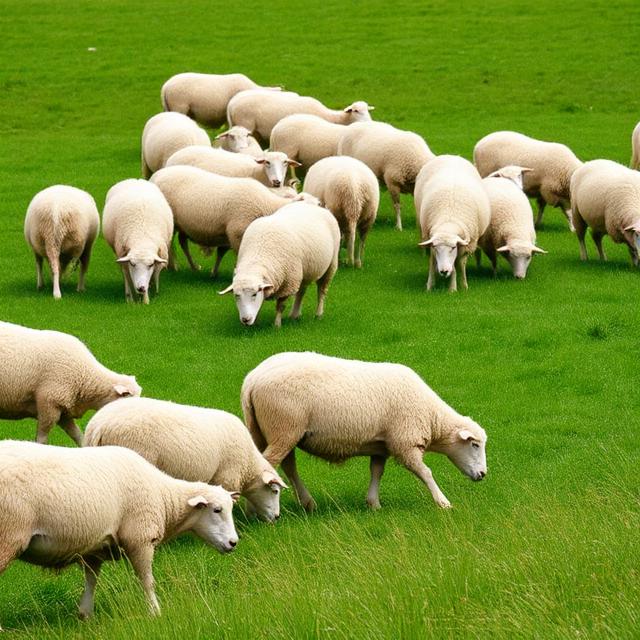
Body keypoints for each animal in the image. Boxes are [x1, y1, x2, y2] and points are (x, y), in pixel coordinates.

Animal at [0, 440, 238, 624]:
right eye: (217, 510)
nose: (234, 543)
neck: (163, 496)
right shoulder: (140, 538)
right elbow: (147, 580)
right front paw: (155, 612)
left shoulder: (93, 548)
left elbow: (91, 580)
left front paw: (85, 614)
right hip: (7, 535)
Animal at [150, 166, 303, 278]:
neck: (265, 204)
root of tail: (156, 175)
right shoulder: (237, 232)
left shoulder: (229, 235)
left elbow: (221, 252)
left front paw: (214, 273)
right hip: (170, 220)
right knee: (170, 243)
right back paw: (172, 266)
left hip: (183, 225)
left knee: (182, 242)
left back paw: (193, 266)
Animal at [227, 89, 373, 144]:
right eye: (355, 111)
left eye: (368, 110)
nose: (369, 122)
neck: (331, 117)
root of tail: (232, 103)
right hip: (245, 123)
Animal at [241, 351, 487, 512]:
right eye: (474, 444)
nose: (483, 474)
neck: (432, 416)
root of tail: (251, 380)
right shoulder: (405, 442)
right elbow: (425, 472)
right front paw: (443, 502)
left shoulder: (382, 445)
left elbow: (376, 472)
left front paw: (373, 504)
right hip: (283, 428)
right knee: (268, 467)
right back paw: (255, 511)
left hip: (269, 432)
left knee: (287, 467)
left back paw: (307, 503)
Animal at [416, 155, 491, 291]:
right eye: (436, 248)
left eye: (453, 248)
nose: (444, 271)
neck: (448, 222)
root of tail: (451, 156)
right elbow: (432, 261)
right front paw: (430, 285)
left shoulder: (465, 246)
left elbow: (459, 264)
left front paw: (457, 286)